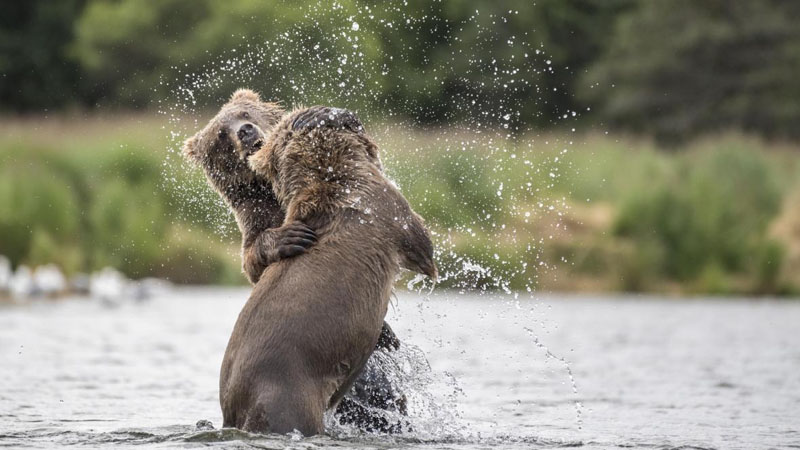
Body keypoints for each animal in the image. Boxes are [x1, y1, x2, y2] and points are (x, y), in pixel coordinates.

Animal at [183, 90, 412, 432]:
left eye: (244, 112)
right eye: (221, 135)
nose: (244, 131)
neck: (267, 189)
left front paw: (320, 115)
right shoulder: (256, 216)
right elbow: (253, 259)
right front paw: (290, 237)